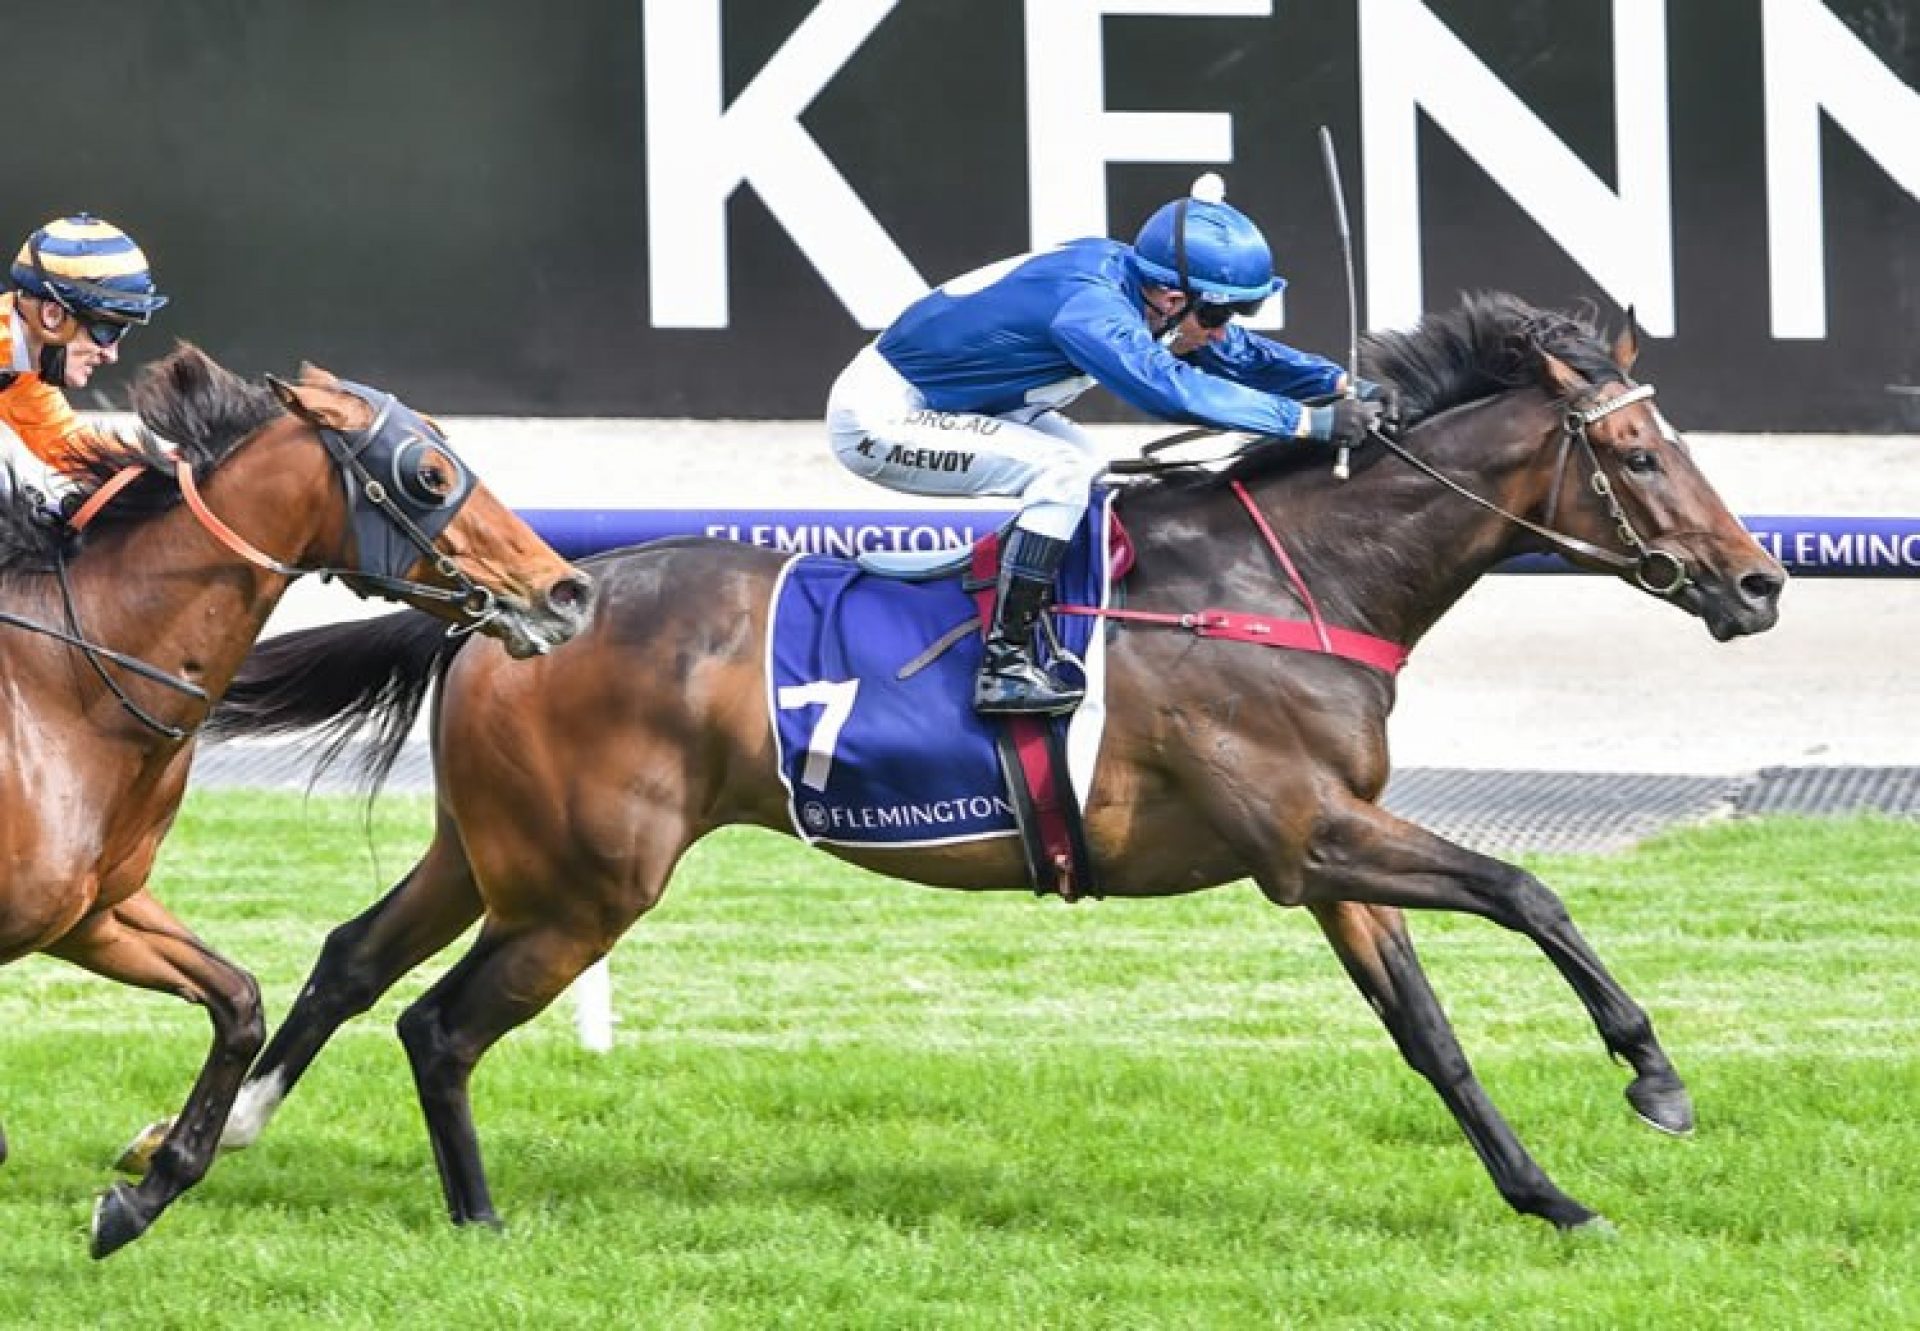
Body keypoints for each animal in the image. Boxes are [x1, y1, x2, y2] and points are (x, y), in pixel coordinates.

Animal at [0, 345, 591, 1259]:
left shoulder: (91, 911)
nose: (566, 592)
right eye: (429, 474)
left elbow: (239, 1000)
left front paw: (140, 1195)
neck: (66, 686)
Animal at [176, 295, 1781, 1229]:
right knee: (439, 1026)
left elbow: (1430, 1031)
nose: (1760, 583)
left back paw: (219, 1132)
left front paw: (1549, 1194)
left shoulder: (1329, 850)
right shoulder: (1303, 834)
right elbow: (1529, 889)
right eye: (1644, 458)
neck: (1295, 573)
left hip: (496, 852)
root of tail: (521, 606)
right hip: (586, 883)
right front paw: (1653, 1078)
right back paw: (479, 1223)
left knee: (351, 957)